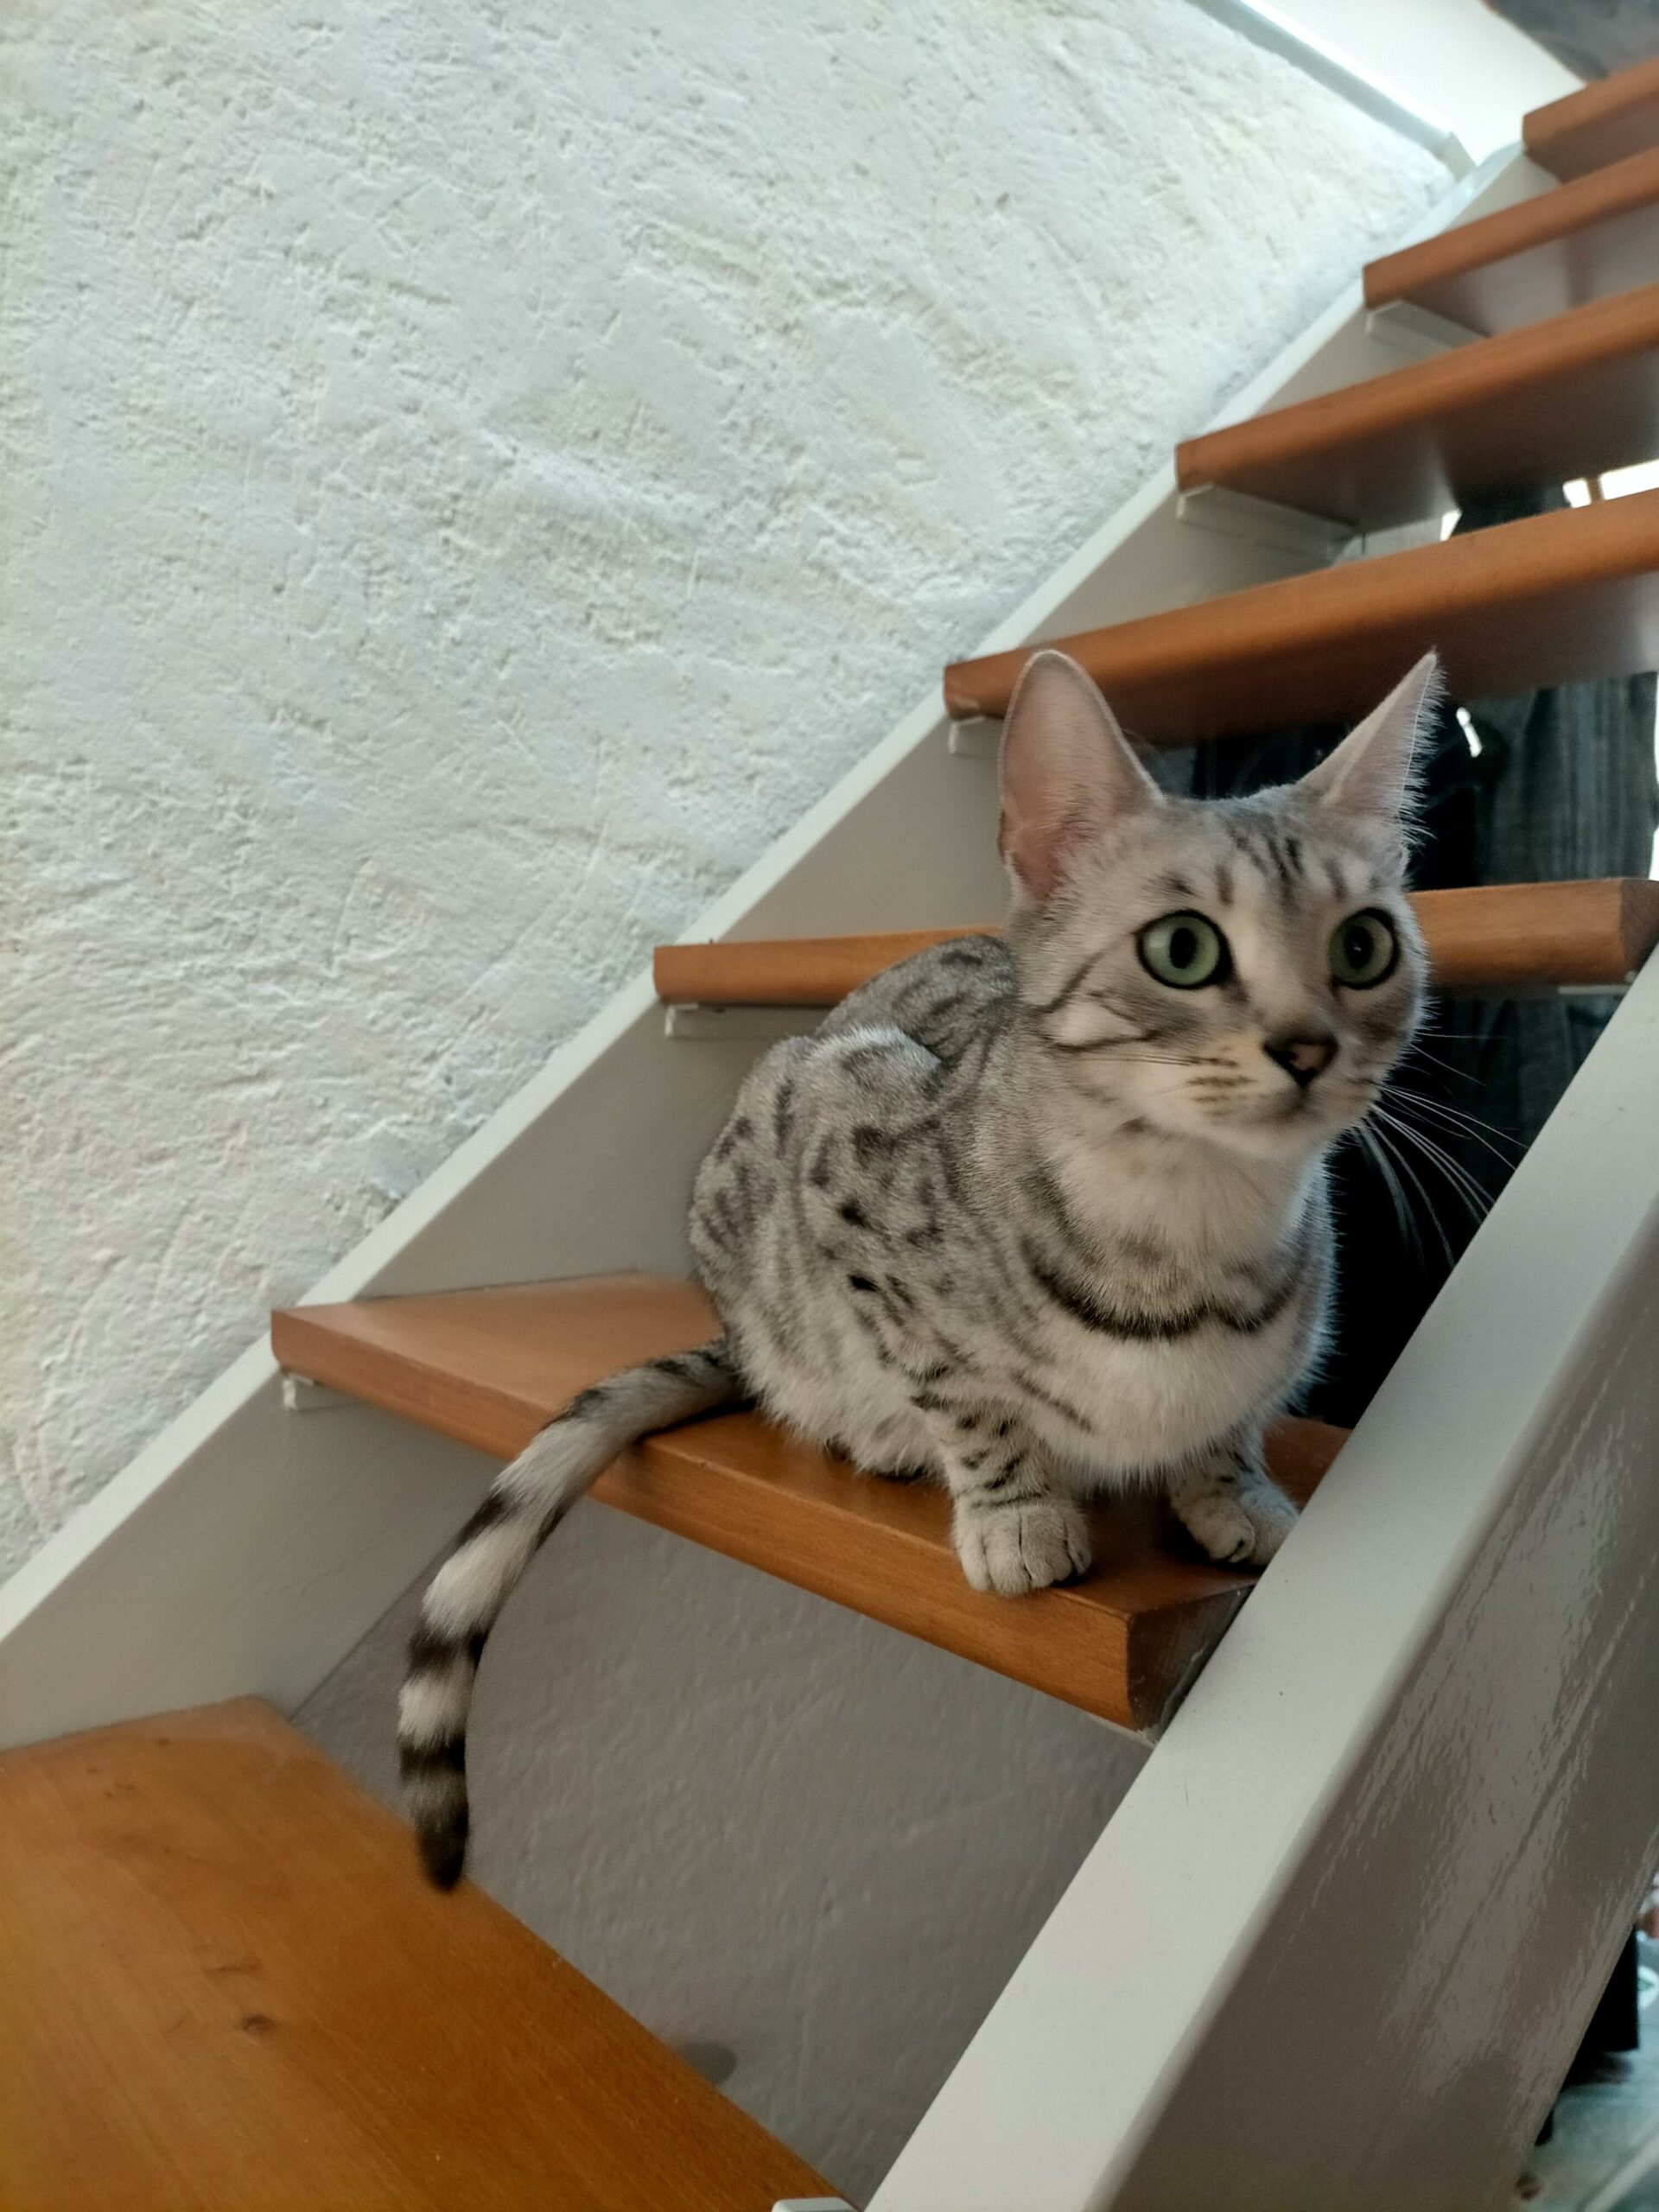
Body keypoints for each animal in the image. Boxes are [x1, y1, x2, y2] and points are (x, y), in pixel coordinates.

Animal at [400, 647, 1436, 1886]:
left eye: (1365, 946)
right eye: (1183, 948)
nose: (1310, 1046)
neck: (1187, 1229)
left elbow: (1234, 1416)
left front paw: (1231, 1490)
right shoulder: (844, 1158)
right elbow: (962, 1389)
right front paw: (1015, 1511)